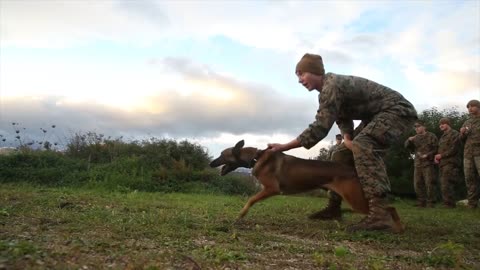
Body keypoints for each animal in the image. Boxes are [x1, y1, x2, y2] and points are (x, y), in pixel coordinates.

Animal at [210, 140, 404, 233]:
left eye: (222, 155)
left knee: (389, 208)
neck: (256, 157)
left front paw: (241, 215)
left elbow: (250, 200)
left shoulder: (272, 189)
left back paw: (395, 227)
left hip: (355, 199)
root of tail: (353, 170)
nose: (211, 163)